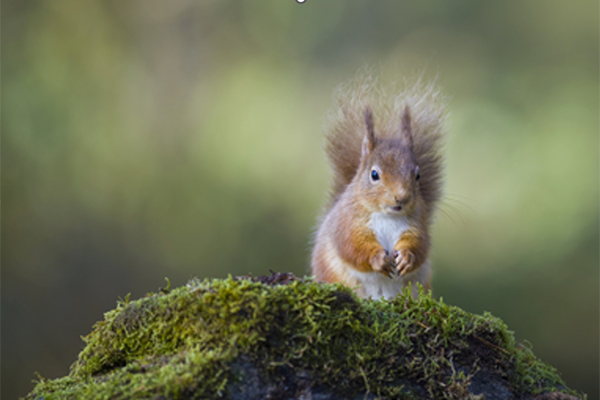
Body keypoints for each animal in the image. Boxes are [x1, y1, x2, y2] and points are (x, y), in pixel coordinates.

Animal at [310, 77, 446, 300]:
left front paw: (406, 257)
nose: (401, 197)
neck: (387, 216)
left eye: (417, 175)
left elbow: (419, 245)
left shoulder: (417, 222)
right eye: (374, 175)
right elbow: (353, 246)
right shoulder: (348, 221)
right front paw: (377, 259)